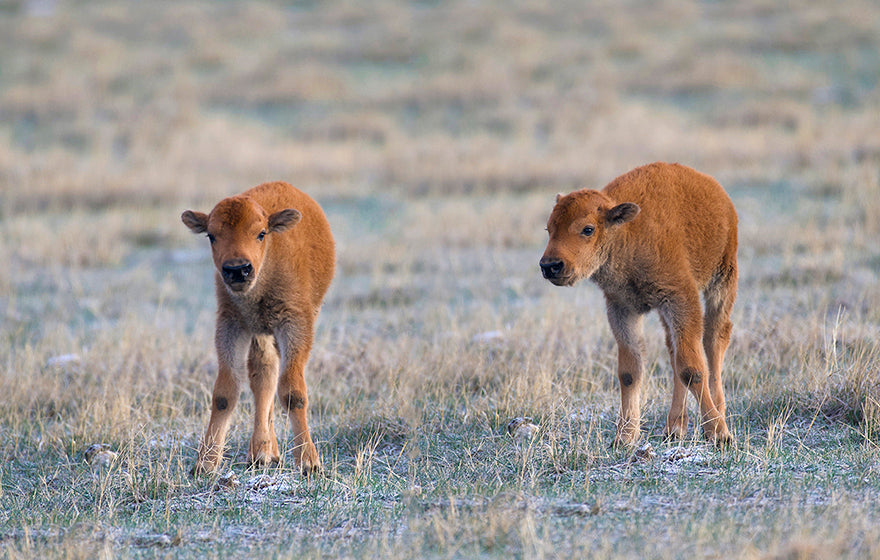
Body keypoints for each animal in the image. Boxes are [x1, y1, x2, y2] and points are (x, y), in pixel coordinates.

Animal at [180, 182, 336, 474]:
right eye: (211, 235)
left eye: (261, 233)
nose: (237, 269)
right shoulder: (232, 324)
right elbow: (225, 393)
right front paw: (205, 463)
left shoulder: (295, 324)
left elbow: (292, 392)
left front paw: (309, 462)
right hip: (260, 334)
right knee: (264, 377)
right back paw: (263, 452)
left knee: (271, 377)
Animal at [540, 161, 740, 446]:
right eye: (549, 229)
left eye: (588, 229)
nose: (550, 266)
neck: (627, 232)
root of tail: (717, 192)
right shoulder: (622, 308)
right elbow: (630, 372)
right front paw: (624, 436)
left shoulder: (681, 298)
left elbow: (692, 368)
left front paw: (718, 433)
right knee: (674, 351)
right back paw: (674, 427)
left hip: (723, 278)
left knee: (714, 342)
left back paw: (718, 415)